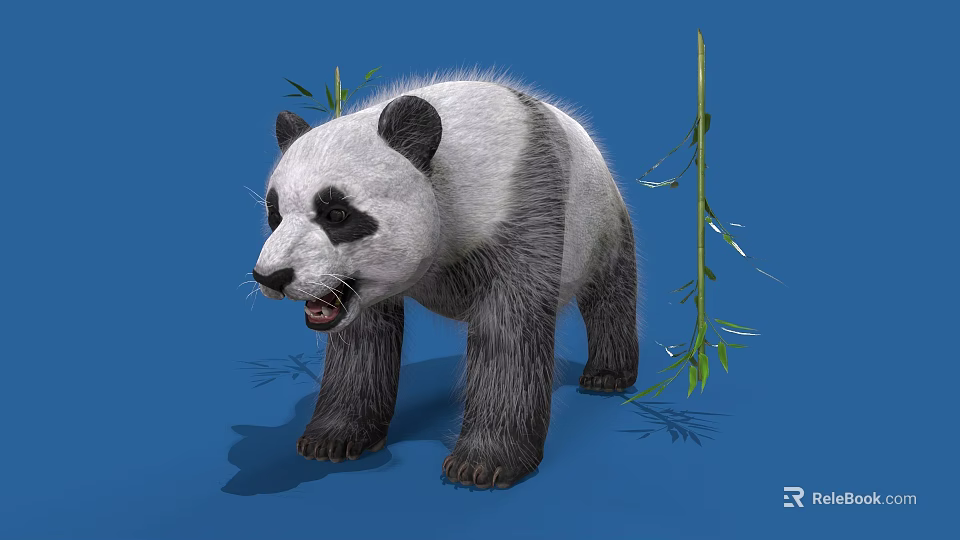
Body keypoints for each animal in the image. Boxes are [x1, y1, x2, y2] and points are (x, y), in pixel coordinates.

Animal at [251, 69, 641, 489]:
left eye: (336, 213)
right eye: (274, 214)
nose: (271, 277)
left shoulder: (520, 206)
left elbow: (509, 331)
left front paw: (483, 464)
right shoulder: (360, 286)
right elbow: (363, 341)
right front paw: (333, 439)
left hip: (600, 219)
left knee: (611, 292)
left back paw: (607, 375)